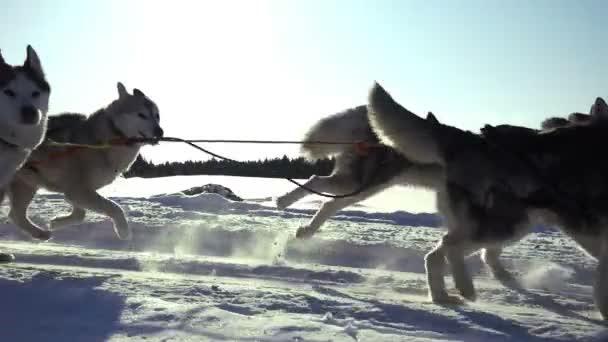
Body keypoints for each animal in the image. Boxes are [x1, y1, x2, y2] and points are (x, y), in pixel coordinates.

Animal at [5, 82, 163, 243]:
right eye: (141, 115)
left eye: (157, 116)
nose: (160, 132)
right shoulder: (78, 191)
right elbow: (115, 208)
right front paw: (123, 231)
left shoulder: (75, 193)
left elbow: (80, 215)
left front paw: (56, 222)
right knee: (16, 214)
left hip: (26, 185)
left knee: (15, 215)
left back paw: (40, 233)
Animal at [368, 81, 608, 320]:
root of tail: (473, 138)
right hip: (506, 225)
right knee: (450, 247)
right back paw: (466, 288)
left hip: (505, 225)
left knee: (438, 255)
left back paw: (442, 297)